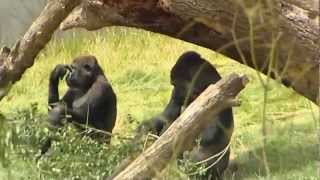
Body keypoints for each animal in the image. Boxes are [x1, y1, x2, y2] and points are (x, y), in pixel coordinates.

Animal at [149, 51, 234, 179]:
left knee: (197, 155)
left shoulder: (220, 91)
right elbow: (165, 117)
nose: (174, 91)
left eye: (175, 84)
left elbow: (209, 135)